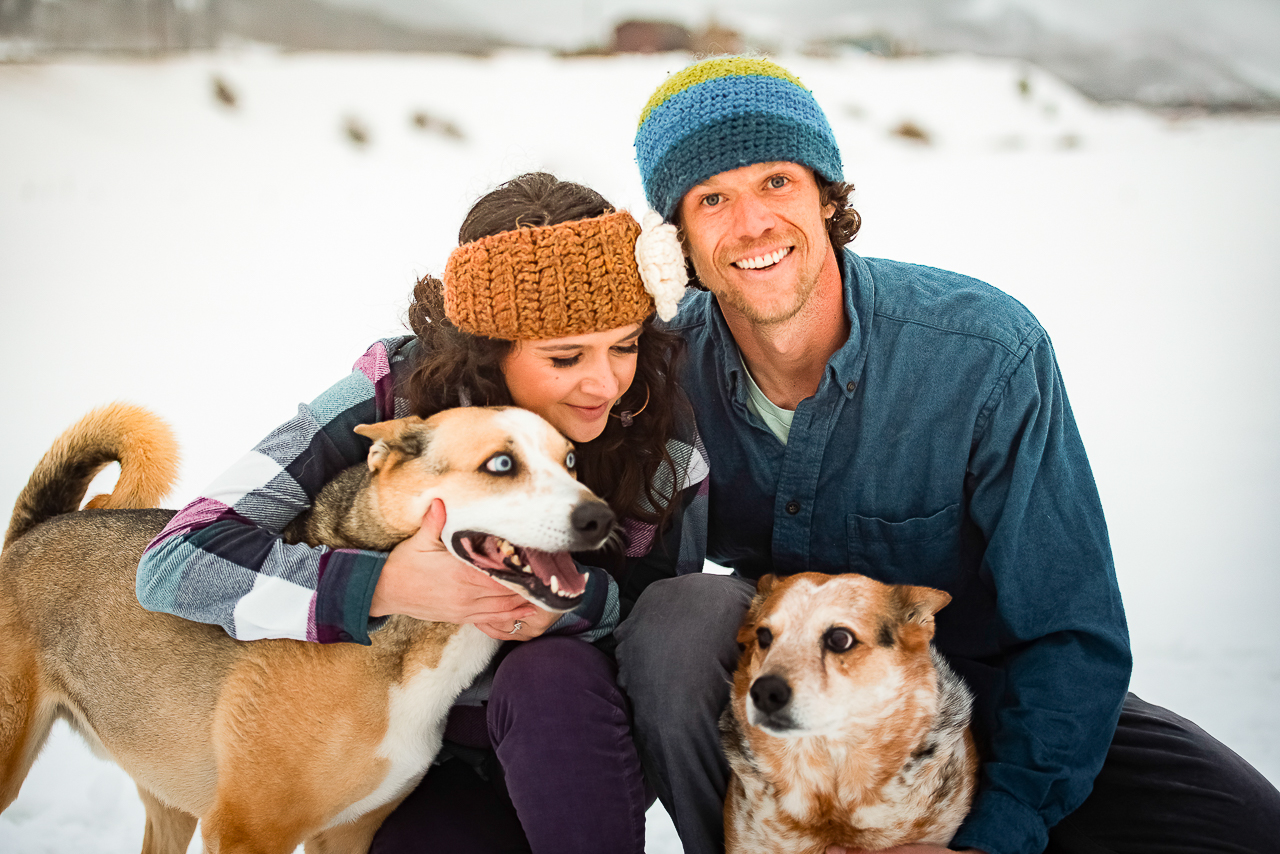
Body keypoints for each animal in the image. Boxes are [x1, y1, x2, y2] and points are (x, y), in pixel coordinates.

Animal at [0, 402, 614, 854]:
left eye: (571, 461)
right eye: (501, 465)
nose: (600, 518)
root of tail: (36, 529)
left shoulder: (349, 835)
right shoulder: (247, 833)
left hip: (166, 795)